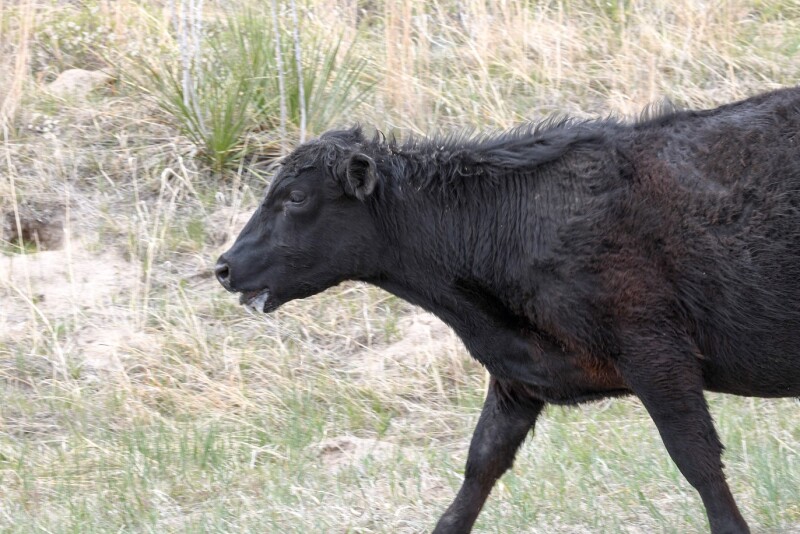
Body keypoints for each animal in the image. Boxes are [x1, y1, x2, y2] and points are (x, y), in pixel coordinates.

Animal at [215, 86, 800, 534]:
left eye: (295, 197)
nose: (223, 267)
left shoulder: (657, 354)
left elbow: (698, 461)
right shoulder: (517, 378)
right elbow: (480, 467)